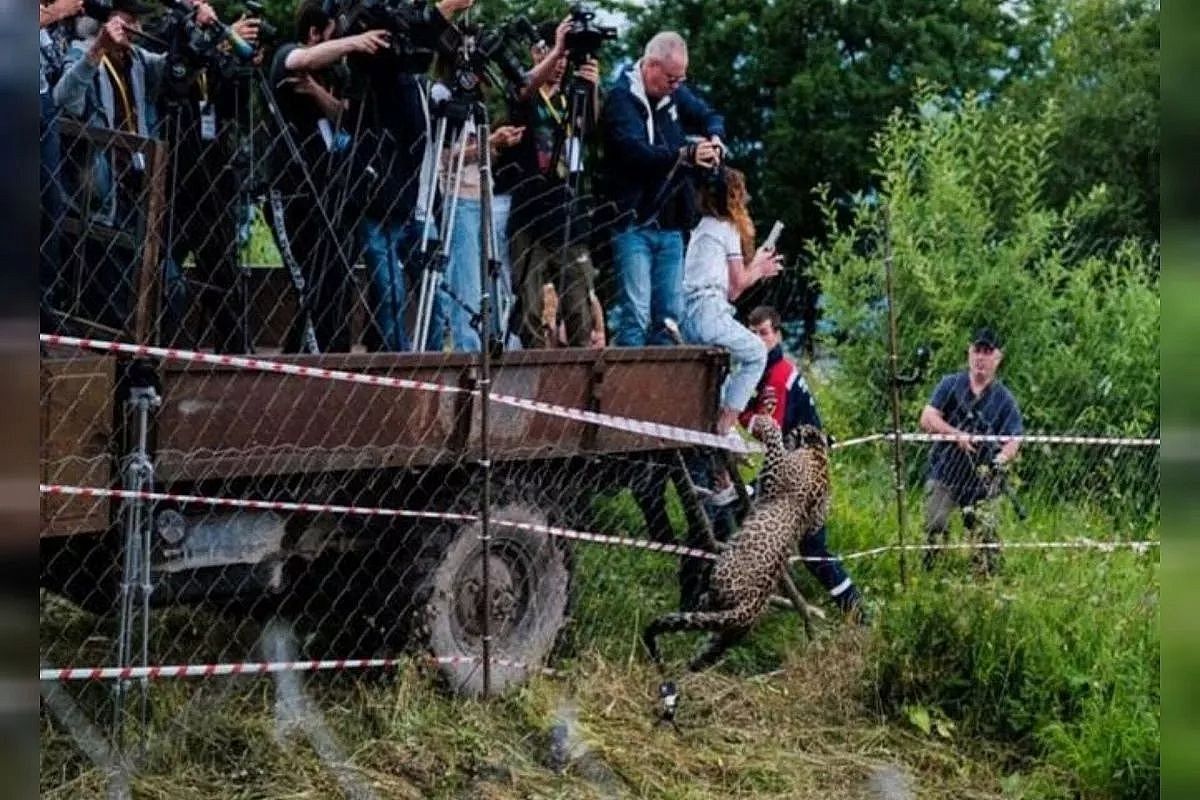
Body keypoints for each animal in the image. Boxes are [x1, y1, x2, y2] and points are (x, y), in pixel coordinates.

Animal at [643, 417, 830, 671]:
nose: (790, 430)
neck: (818, 452)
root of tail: (749, 610)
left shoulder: (775, 474)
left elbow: (773, 445)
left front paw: (764, 423)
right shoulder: (815, 518)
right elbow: (817, 522)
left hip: (722, 579)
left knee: (707, 601)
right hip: (729, 633)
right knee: (708, 652)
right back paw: (689, 665)